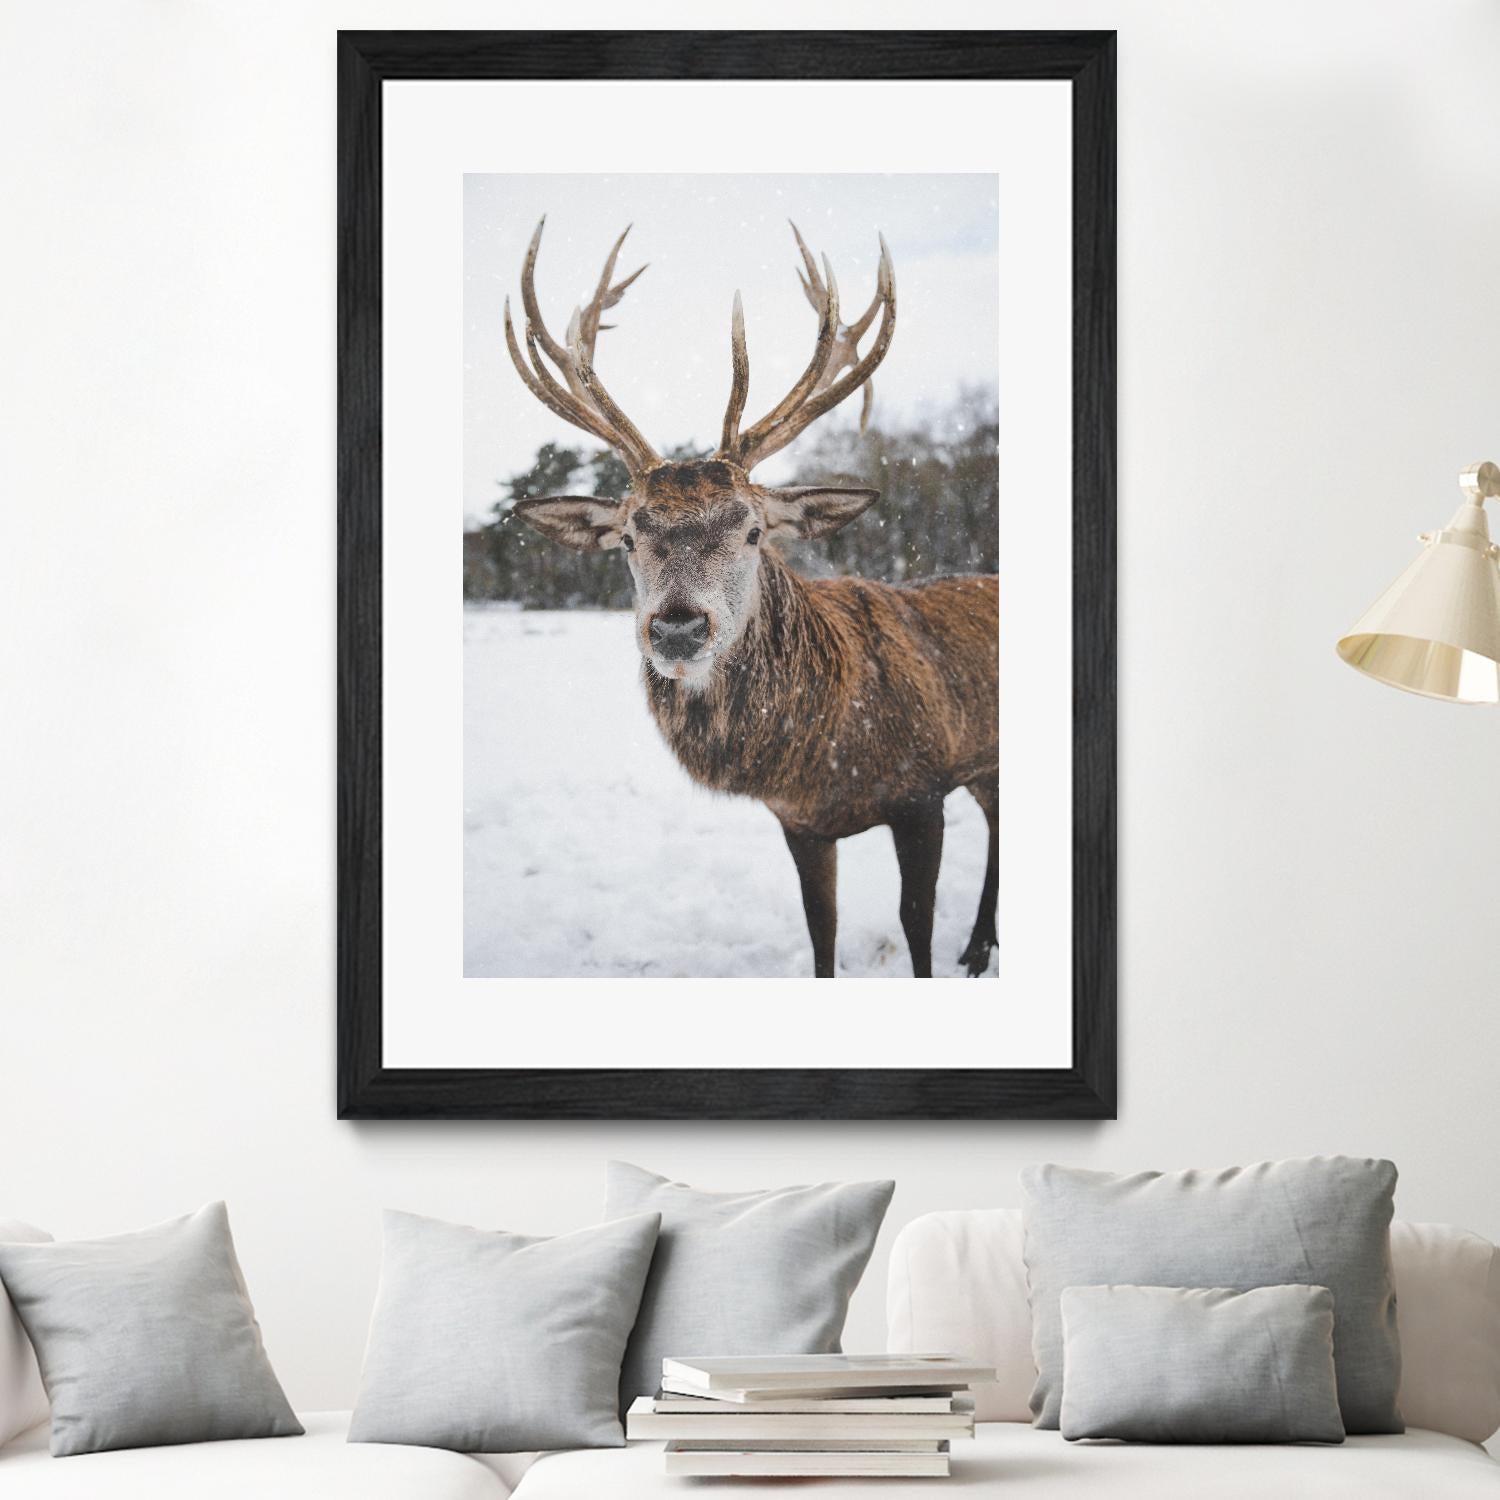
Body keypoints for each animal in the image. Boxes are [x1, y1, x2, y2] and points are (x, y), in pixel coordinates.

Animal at [503, 218, 998, 979]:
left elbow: (916, 927)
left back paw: (974, 949)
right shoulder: (799, 823)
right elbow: (821, 930)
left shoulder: (923, 791)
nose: (678, 629)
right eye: (627, 537)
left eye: (754, 529)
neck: (827, 756)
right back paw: (977, 945)